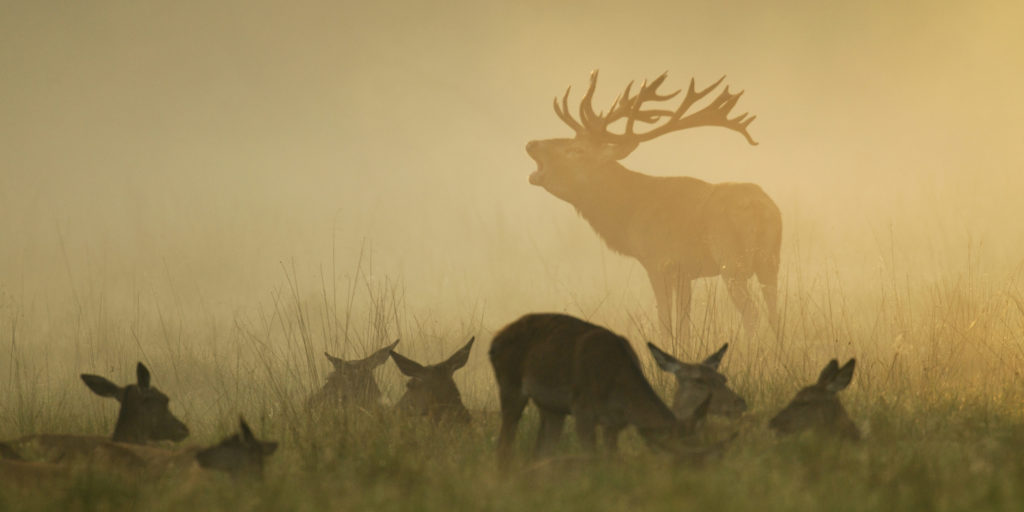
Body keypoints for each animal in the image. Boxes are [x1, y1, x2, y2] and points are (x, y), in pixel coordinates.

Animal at [487, 311, 712, 471]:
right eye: (680, 459)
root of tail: (494, 343)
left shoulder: (614, 424)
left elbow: (611, 459)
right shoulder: (582, 409)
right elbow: (591, 457)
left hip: (551, 409)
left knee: (541, 450)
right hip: (510, 386)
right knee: (504, 444)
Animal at [528, 69, 782, 339]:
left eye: (576, 150)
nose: (531, 143)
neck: (628, 215)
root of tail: (762, 211)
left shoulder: (658, 261)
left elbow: (665, 323)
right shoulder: (685, 271)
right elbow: (684, 325)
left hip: (732, 260)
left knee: (752, 313)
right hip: (771, 260)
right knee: (775, 313)